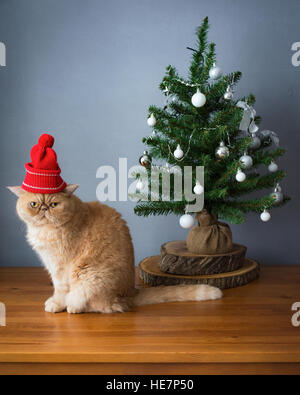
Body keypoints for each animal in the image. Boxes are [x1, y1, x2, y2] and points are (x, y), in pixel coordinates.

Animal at [8, 186, 221, 316]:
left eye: (54, 204)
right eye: (34, 204)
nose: (44, 209)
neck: (45, 231)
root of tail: (129, 294)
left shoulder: (61, 270)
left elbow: (60, 291)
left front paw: (56, 304)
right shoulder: (52, 267)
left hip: (88, 276)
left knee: (97, 306)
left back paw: (73, 307)